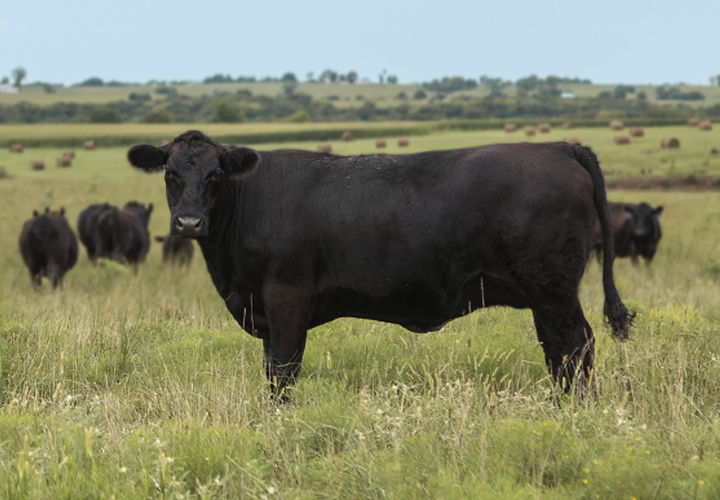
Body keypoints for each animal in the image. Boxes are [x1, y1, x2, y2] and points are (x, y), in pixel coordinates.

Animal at [127, 130, 634, 400]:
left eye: (215, 175)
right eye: (170, 174)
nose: (188, 222)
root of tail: (559, 146)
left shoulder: (286, 299)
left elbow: (284, 372)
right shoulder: (265, 310)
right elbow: (272, 370)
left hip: (553, 289)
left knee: (574, 347)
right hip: (544, 295)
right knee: (560, 351)